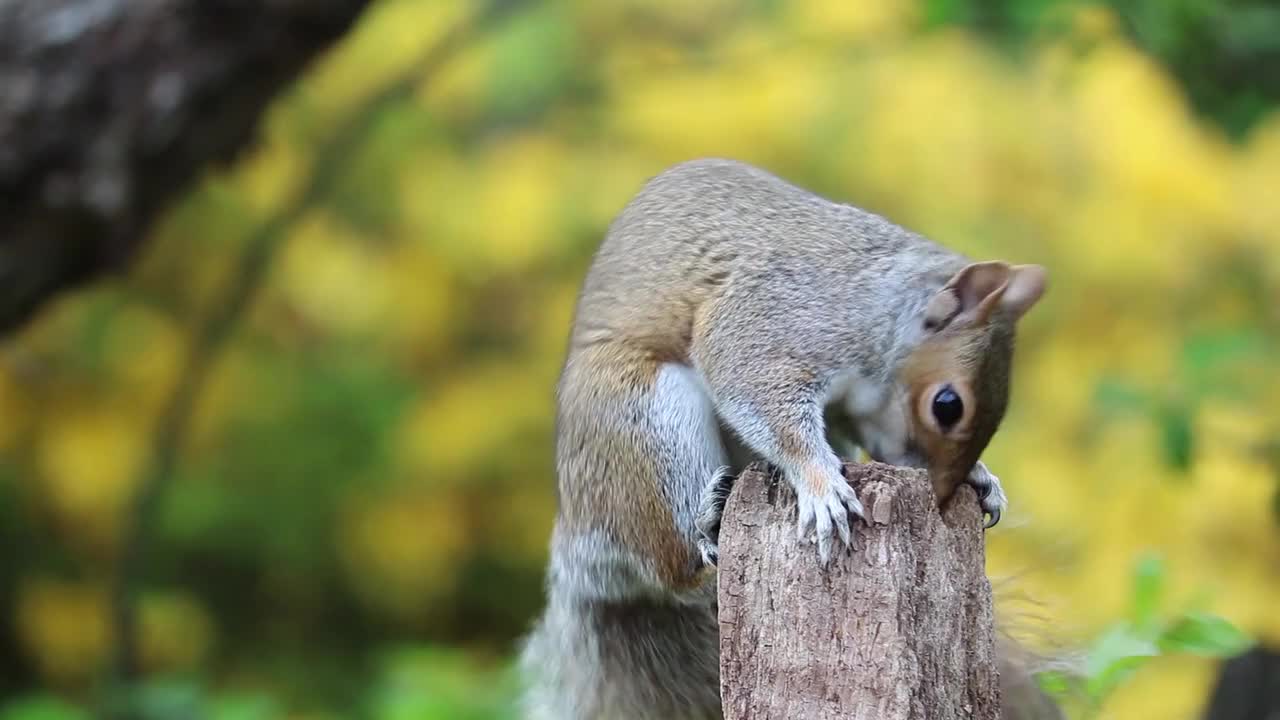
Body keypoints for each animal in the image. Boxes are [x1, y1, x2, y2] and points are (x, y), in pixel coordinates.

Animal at [517, 158, 1049, 717]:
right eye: (947, 405)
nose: (945, 496)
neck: (881, 308)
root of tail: (579, 539)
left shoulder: (859, 412)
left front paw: (981, 478)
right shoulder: (776, 316)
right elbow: (759, 393)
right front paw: (820, 485)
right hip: (647, 426)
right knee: (678, 571)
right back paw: (707, 524)